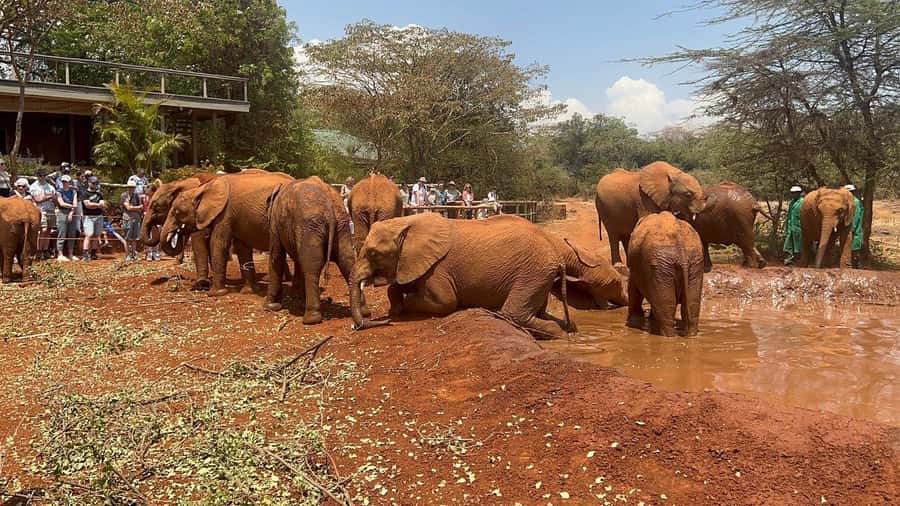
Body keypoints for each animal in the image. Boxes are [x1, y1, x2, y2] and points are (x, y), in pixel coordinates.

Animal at [160, 169, 294, 296]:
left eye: (177, 212)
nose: (177, 231)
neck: (202, 189)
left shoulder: (225, 213)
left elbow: (218, 244)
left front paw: (215, 294)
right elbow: (242, 248)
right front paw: (248, 292)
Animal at [264, 176, 370, 324]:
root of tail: (329, 202)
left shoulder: (275, 221)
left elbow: (276, 256)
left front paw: (270, 306)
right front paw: (298, 298)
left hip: (311, 225)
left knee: (312, 266)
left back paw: (311, 319)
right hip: (341, 225)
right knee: (347, 261)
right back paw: (365, 312)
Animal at [349, 213, 575, 339]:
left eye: (373, 253)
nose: (384, 321)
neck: (407, 223)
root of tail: (557, 255)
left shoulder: (438, 268)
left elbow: (446, 302)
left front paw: (405, 304)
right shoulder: (414, 263)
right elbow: (401, 285)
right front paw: (395, 308)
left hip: (532, 272)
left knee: (515, 313)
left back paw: (561, 335)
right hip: (539, 275)